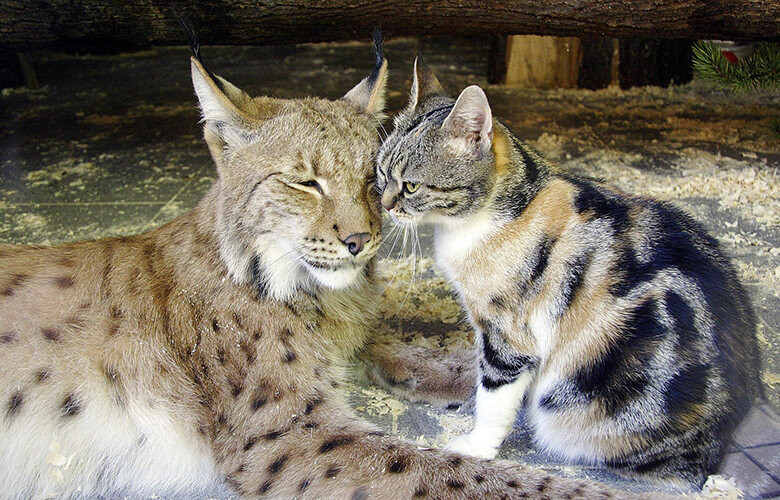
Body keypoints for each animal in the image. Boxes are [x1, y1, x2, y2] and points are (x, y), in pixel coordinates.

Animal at [0, 33, 628, 498]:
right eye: (305, 182)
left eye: (374, 178)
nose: (360, 241)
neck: (310, 292)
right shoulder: (291, 435)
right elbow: (451, 472)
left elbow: (454, 363)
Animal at [374, 57, 760, 484]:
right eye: (381, 172)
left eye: (410, 186)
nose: (385, 204)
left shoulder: (509, 335)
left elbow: (494, 396)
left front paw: (476, 446)